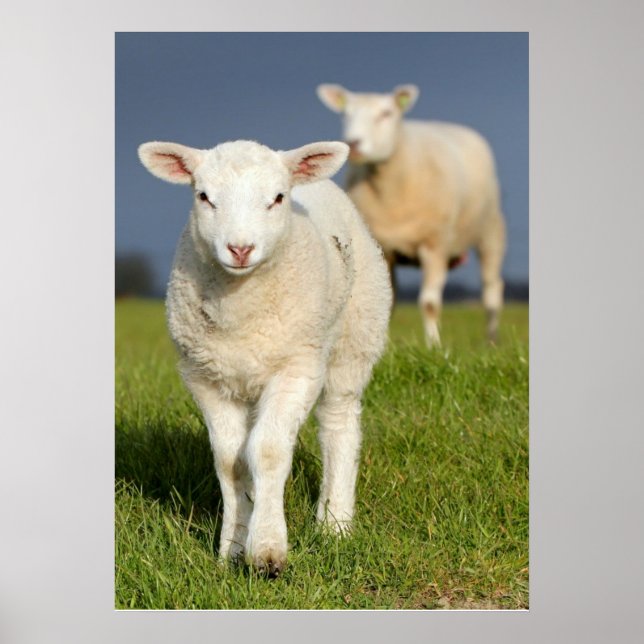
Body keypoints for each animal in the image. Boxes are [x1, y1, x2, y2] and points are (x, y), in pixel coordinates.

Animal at [137, 138, 392, 576]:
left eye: (277, 198)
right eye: (203, 196)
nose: (240, 249)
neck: (240, 309)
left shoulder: (297, 369)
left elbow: (268, 451)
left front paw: (268, 551)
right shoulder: (206, 378)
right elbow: (230, 461)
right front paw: (232, 548)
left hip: (355, 336)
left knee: (339, 425)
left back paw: (335, 523)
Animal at [317, 83, 507, 347]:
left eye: (386, 113)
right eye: (345, 114)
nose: (354, 144)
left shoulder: (434, 245)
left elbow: (429, 304)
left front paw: (434, 346)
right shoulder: (384, 250)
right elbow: (388, 301)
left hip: (490, 232)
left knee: (491, 290)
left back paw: (492, 340)